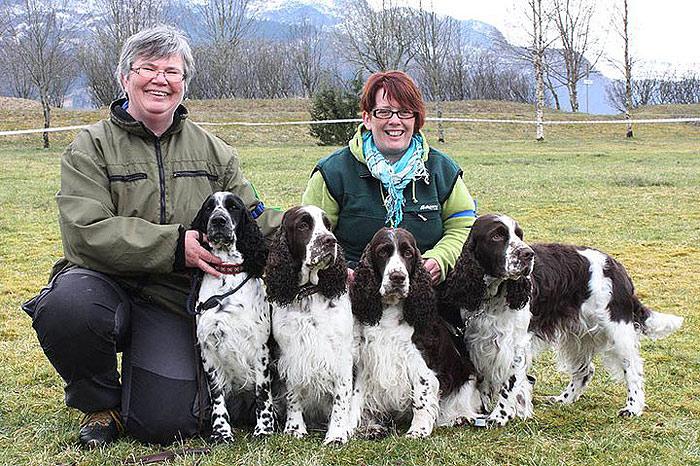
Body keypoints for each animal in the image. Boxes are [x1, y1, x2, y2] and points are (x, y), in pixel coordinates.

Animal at [190, 192, 274, 440]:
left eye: (233, 207)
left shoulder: (260, 348)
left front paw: (264, 428)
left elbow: (262, 392)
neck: (227, 275)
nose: (218, 220)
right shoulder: (207, 347)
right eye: (209, 208)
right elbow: (217, 394)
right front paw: (221, 432)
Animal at [266, 205, 356, 444]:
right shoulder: (288, 354)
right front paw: (295, 429)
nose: (330, 241)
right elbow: (292, 395)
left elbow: (341, 399)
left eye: (328, 225)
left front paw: (336, 434)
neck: (307, 293)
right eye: (303, 225)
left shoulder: (341, 355)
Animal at [350, 228, 482, 438]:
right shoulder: (366, 362)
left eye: (408, 253)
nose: (397, 277)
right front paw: (357, 427)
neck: (390, 310)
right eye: (382, 252)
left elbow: (422, 397)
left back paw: (461, 417)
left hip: (466, 375)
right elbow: (357, 398)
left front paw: (418, 431)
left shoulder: (419, 360)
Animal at [442, 215, 684, 422]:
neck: (494, 295)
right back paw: (564, 399)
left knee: (633, 369)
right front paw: (485, 411)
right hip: (576, 334)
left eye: (519, 235)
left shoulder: (515, 344)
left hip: (617, 328)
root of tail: (616, 266)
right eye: (497, 236)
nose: (528, 254)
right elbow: (484, 381)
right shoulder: (478, 340)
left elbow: (509, 384)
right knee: (586, 370)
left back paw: (632, 407)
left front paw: (499, 417)